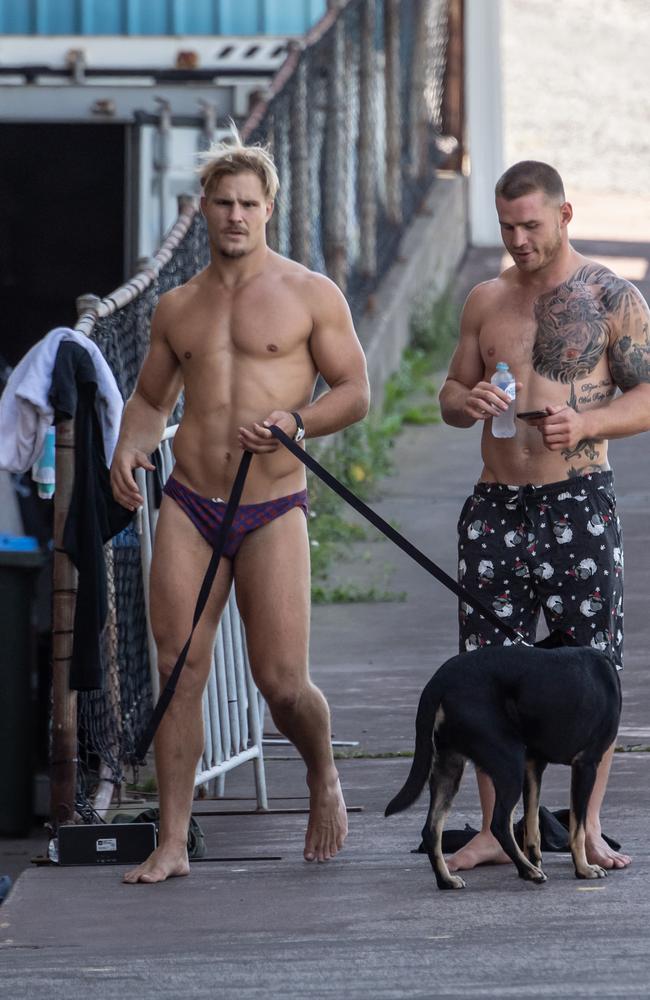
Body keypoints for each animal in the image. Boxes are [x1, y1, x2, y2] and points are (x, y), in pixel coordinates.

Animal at [382, 636, 620, 888]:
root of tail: (439, 681)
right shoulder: (586, 763)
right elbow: (578, 827)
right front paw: (584, 869)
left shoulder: (533, 765)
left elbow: (532, 826)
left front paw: (537, 859)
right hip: (509, 762)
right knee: (498, 823)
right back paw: (529, 872)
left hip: (449, 767)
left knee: (431, 829)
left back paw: (447, 880)